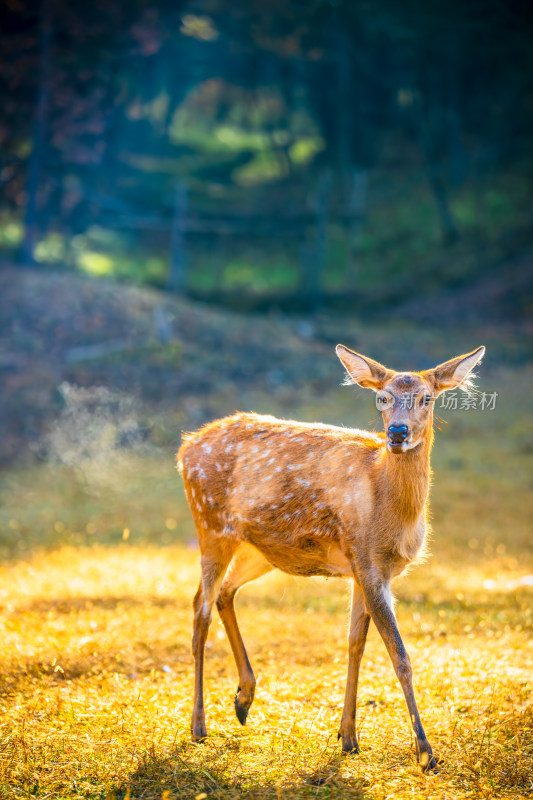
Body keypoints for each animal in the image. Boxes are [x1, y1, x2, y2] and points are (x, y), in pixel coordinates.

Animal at [177, 344, 484, 768]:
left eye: (426, 398)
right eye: (382, 397)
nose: (397, 432)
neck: (388, 505)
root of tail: (185, 447)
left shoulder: (366, 568)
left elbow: (355, 644)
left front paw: (348, 737)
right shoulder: (367, 561)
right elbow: (400, 656)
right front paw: (425, 753)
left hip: (261, 549)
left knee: (223, 594)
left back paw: (243, 699)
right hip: (211, 525)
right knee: (199, 609)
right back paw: (198, 725)